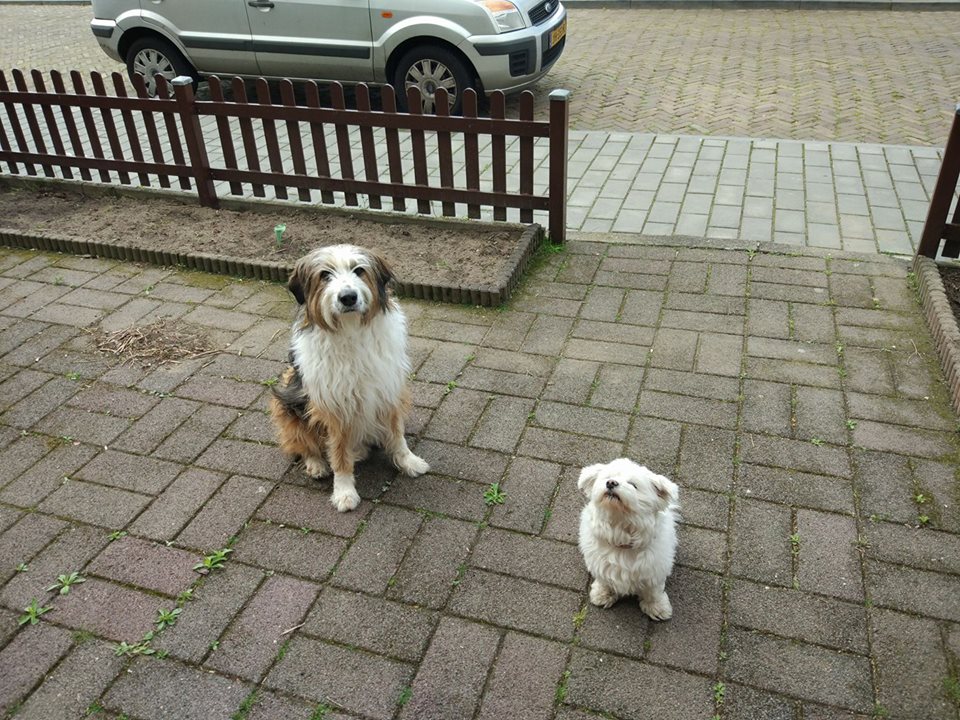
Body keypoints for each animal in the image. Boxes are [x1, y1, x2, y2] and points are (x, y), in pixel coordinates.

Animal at [269, 244, 429, 512]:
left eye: (359, 270)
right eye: (325, 274)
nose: (348, 297)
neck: (351, 329)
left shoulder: (388, 390)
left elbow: (397, 434)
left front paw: (409, 461)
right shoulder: (333, 405)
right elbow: (338, 452)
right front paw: (344, 491)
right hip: (286, 400)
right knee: (304, 443)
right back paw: (316, 464)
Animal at [578, 458, 679, 620]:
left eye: (633, 485)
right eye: (608, 477)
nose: (611, 483)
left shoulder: (654, 570)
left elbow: (653, 591)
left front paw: (657, 607)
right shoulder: (600, 563)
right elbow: (604, 580)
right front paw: (602, 594)